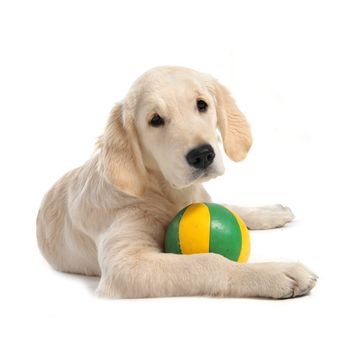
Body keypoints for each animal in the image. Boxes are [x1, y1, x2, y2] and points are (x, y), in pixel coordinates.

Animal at [37, 65, 318, 298]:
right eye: (155, 120)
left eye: (202, 105)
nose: (202, 155)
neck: (162, 190)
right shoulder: (125, 264)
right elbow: (208, 261)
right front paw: (275, 272)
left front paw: (269, 213)